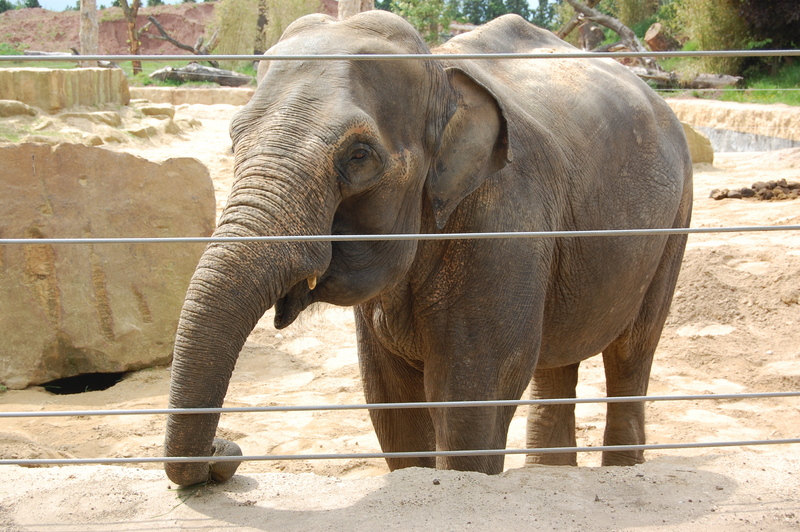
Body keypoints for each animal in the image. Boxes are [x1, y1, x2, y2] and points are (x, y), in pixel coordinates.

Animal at [164, 11, 692, 486]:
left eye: (359, 156)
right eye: (235, 138)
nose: (224, 454)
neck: (442, 74)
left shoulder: (505, 225)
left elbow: (470, 396)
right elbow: (391, 399)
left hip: (675, 223)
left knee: (632, 352)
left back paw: (623, 471)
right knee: (556, 363)